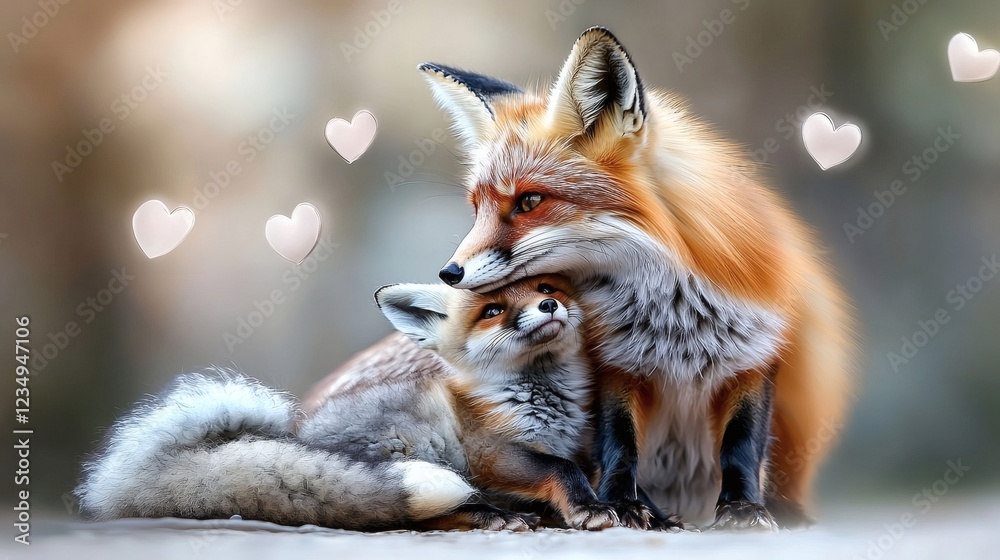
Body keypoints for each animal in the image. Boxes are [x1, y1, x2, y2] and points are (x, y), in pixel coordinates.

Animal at [77, 276, 621, 531]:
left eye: (546, 287)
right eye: (492, 311)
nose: (548, 306)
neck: (543, 400)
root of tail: (297, 438)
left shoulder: (582, 446)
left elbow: (588, 471)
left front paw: (622, 506)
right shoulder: (494, 454)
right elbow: (560, 471)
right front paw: (588, 509)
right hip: (418, 451)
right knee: (403, 514)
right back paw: (491, 516)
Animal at [419, 27, 853, 530]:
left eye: (529, 201)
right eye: (478, 209)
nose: (449, 273)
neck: (676, 311)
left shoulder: (755, 354)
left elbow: (742, 445)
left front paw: (743, 507)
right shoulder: (617, 363)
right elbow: (619, 443)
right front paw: (623, 504)